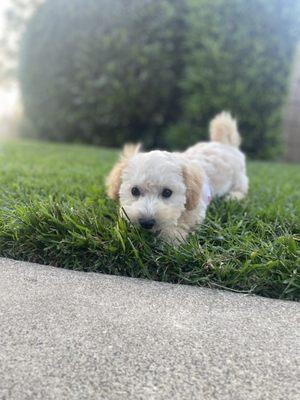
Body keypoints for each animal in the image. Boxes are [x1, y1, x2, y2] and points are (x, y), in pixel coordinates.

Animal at [105, 112, 248, 244]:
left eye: (167, 192)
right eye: (134, 191)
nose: (146, 222)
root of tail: (225, 143)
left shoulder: (196, 207)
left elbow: (184, 221)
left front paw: (171, 237)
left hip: (238, 177)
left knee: (241, 189)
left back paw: (233, 197)